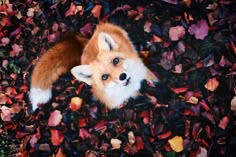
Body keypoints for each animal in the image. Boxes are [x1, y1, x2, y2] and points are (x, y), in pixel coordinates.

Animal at [29, 23, 159, 110]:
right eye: (104, 77)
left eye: (115, 61)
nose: (122, 76)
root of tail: (88, 41)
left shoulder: (143, 70)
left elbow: (151, 78)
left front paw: (156, 84)